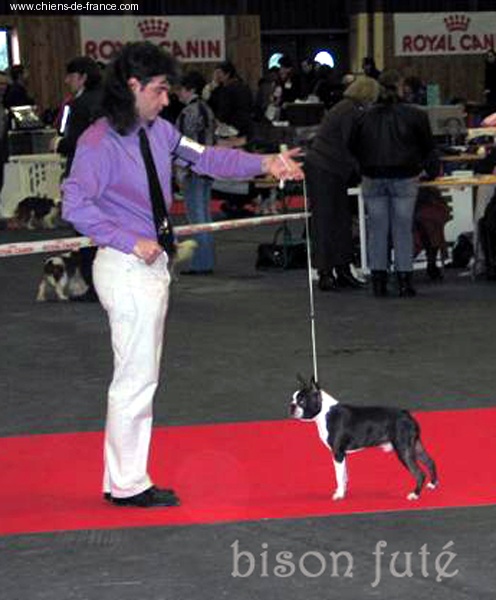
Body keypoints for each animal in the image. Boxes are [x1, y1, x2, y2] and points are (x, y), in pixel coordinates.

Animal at [290, 376, 438, 501]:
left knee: (419, 473)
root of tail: (408, 416)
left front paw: (339, 494)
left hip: (403, 450)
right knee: (430, 461)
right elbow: (344, 474)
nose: (291, 406)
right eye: (292, 399)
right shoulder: (342, 455)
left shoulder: (337, 453)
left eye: (302, 401)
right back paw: (433, 484)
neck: (324, 413)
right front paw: (343, 489)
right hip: (414, 445)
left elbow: (338, 475)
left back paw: (415, 494)